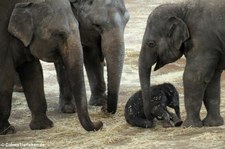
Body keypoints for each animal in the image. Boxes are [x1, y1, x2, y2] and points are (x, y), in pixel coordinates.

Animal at [0, 0, 102, 135]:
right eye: (60, 34)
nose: (100, 123)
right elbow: (5, 78)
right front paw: (7, 131)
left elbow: (34, 73)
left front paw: (44, 126)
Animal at [139, 0, 225, 128]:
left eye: (151, 44)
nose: (152, 119)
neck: (181, 7)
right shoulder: (214, 47)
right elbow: (212, 80)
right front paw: (213, 124)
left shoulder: (203, 41)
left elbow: (193, 77)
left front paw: (190, 126)